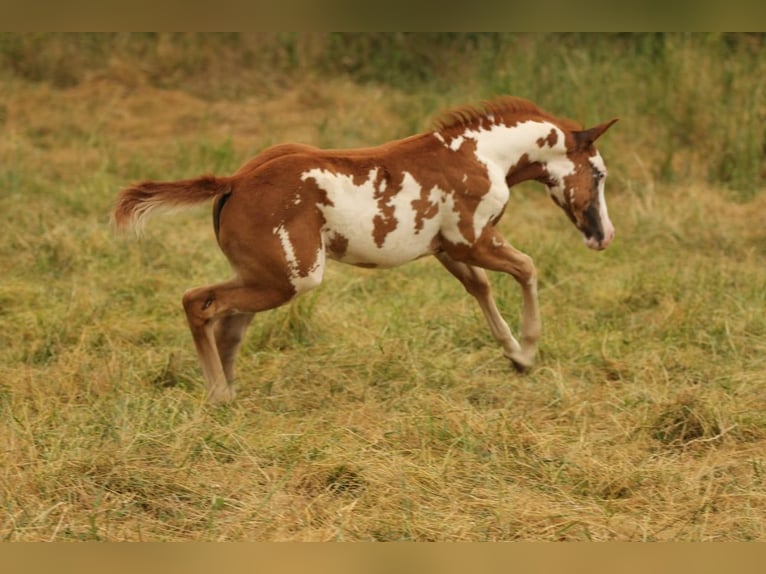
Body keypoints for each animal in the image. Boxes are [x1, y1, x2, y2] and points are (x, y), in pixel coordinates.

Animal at [112, 97, 616, 408]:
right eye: (599, 173)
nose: (604, 236)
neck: (480, 154)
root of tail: (235, 180)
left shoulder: (447, 249)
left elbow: (481, 290)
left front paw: (515, 355)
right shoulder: (472, 240)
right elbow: (526, 268)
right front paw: (529, 349)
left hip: (262, 276)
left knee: (228, 325)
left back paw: (228, 394)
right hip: (291, 279)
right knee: (198, 303)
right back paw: (218, 393)